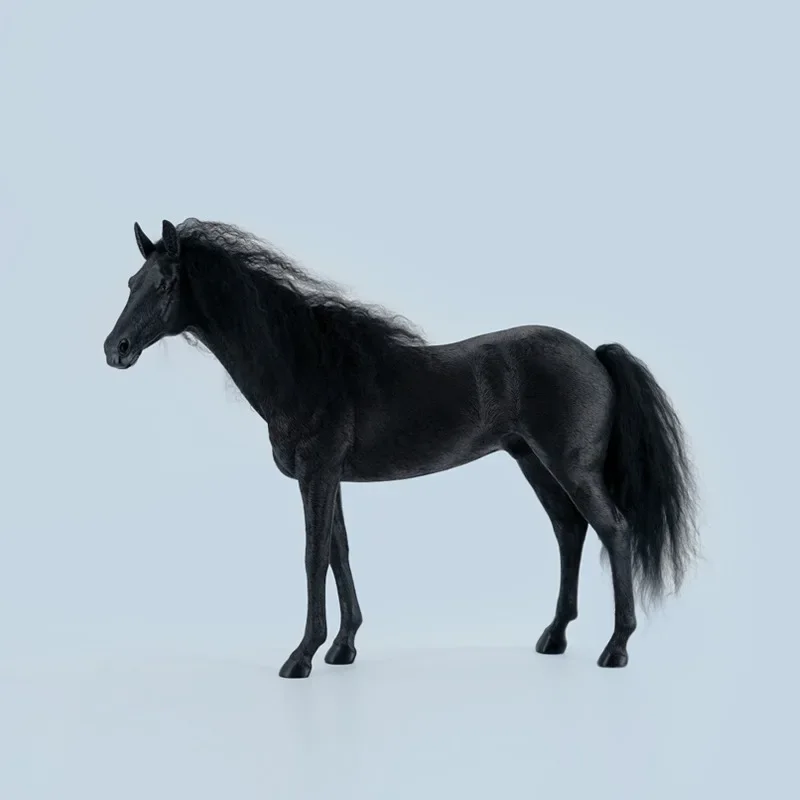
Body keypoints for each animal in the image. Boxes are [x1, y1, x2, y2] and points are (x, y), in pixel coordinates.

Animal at [104, 218, 699, 679]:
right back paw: (553, 637)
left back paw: (615, 648)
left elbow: (313, 556)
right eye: (132, 280)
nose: (116, 349)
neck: (308, 366)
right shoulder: (329, 479)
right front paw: (343, 648)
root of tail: (595, 355)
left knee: (613, 530)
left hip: (571, 468)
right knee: (569, 531)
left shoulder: (316, 476)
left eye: (164, 285)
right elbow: (339, 553)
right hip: (534, 463)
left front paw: (301, 657)